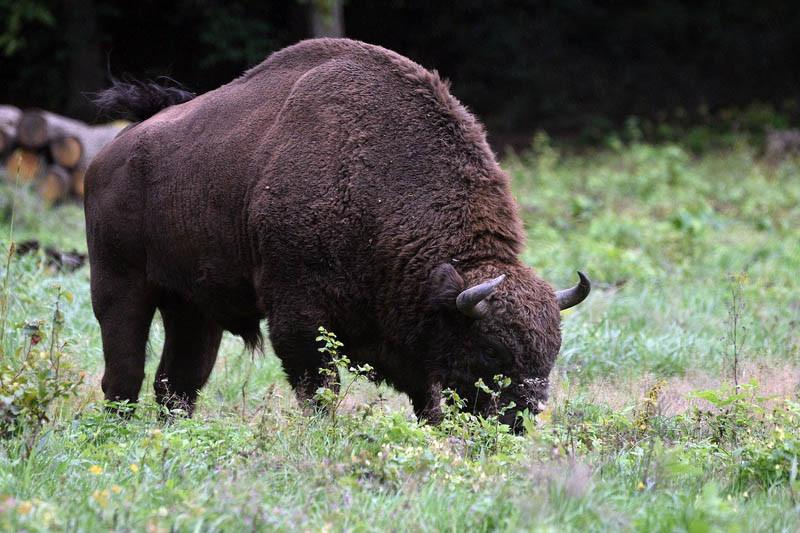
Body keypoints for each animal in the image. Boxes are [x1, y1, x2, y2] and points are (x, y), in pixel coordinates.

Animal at [87, 36, 588, 428]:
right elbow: (319, 387)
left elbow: (425, 396)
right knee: (123, 373)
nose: (521, 420)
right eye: (490, 352)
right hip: (119, 287)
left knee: (177, 382)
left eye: (550, 354)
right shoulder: (298, 316)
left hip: (193, 308)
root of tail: (112, 154)